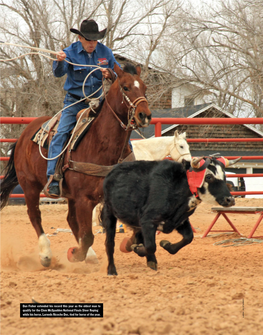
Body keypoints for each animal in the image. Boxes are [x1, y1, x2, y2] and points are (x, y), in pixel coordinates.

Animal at [0, 62, 153, 268]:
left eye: (144, 87)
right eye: (126, 87)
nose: (145, 115)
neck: (101, 143)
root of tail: (25, 134)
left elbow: (136, 225)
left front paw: (134, 245)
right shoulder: (84, 199)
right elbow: (87, 236)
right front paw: (75, 254)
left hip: (69, 195)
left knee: (70, 219)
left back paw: (90, 255)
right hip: (30, 185)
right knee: (35, 215)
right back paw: (46, 255)